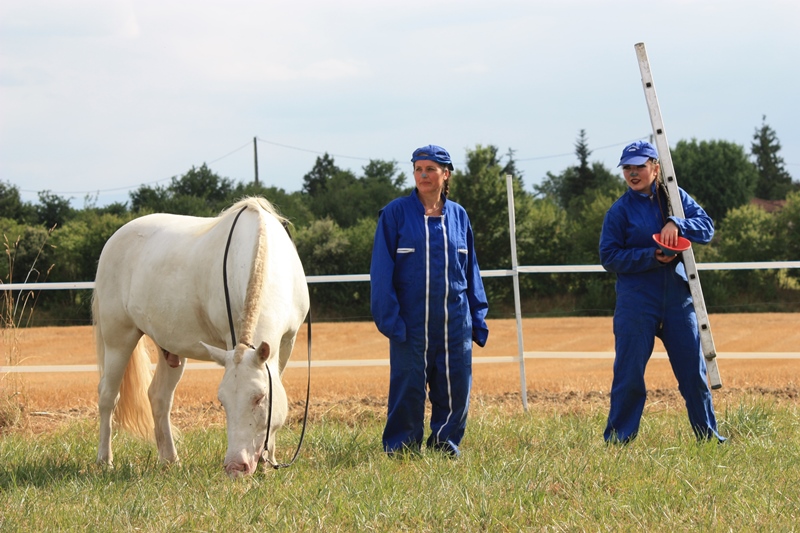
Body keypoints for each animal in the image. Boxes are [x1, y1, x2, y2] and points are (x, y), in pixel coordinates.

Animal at [92, 196, 308, 478]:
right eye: (222, 401)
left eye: (259, 397)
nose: (236, 466)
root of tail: (113, 240)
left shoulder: (287, 342)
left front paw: (268, 460)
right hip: (118, 338)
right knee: (108, 395)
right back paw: (104, 461)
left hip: (169, 349)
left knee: (159, 397)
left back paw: (170, 460)